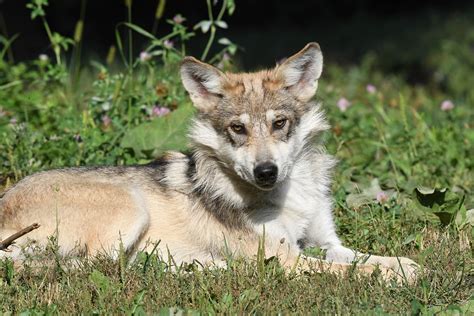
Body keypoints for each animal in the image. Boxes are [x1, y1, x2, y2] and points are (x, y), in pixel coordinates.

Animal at [0, 43, 414, 282]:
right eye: (237, 129)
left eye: (279, 123)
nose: (266, 172)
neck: (289, 196)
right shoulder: (285, 260)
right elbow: (354, 270)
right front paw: (400, 276)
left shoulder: (326, 241)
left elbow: (369, 258)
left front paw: (409, 265)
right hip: (130, 207)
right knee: (101, 267)